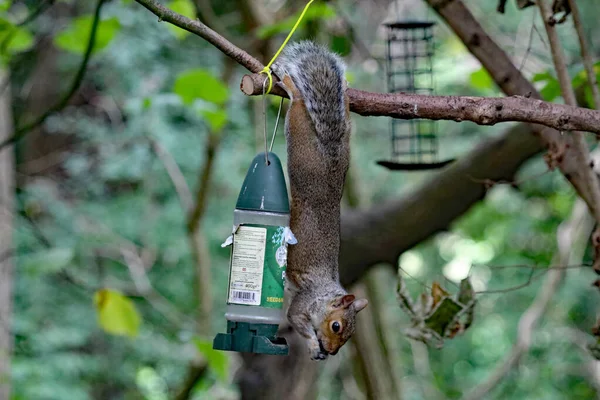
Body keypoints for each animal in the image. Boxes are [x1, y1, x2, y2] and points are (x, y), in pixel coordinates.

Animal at [270, 42, 366, 360]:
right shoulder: (302, 304)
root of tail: (330, 147)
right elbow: (297, 323)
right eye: (336, 326)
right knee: (299, 104)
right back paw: (291, 86)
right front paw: (313, 346)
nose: (333, 352)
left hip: (346, 139)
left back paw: (345, 91)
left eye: (348, 337)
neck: (324, 292)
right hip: (299, 135)